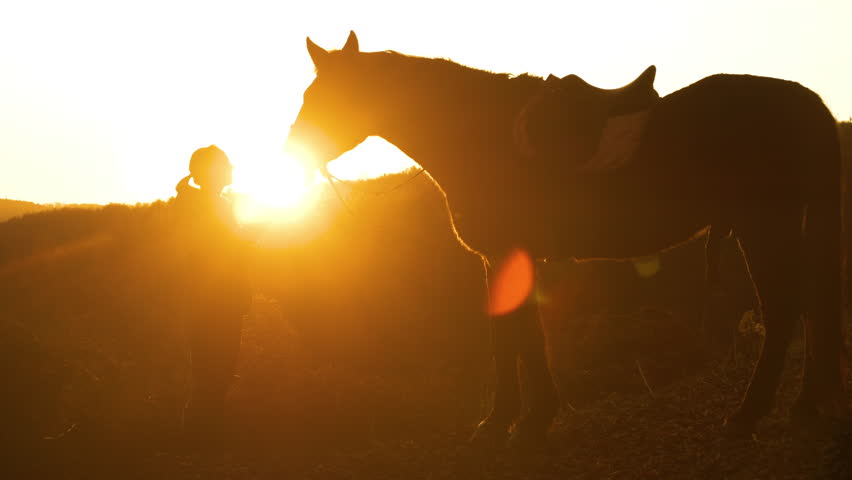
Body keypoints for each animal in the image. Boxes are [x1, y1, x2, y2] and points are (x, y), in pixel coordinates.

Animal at [284, 31, 847, 446]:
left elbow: (517, 340)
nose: (292, 153)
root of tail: (806, 103)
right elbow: (517, 337)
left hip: (764, 225)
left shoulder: (508, 256)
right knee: (810, 306)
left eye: (327, 96)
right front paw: (515, 419)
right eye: (309, 95)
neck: (478, 135)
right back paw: (803, 406)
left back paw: (749, 414)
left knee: (784, 309)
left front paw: (516, 423)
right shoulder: (504, 259)